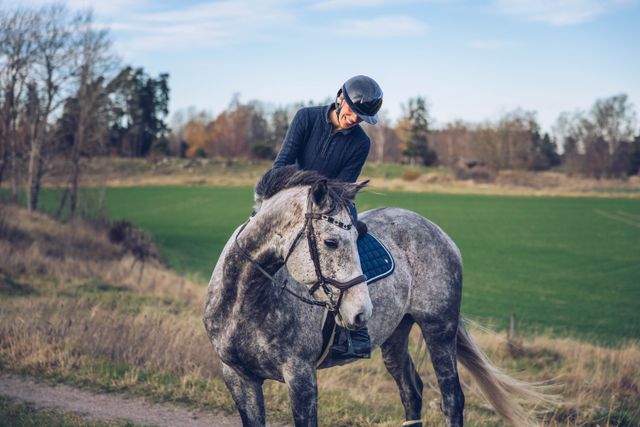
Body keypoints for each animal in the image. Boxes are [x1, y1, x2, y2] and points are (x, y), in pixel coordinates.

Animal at [203, 166, 549, 427]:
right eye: (331, 242)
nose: (361, 312)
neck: (246, 300)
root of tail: (437, 231)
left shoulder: (301, 378)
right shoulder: (239, 378)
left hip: (439, 329)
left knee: (452, 399)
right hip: (396, 335)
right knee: (412, 392)